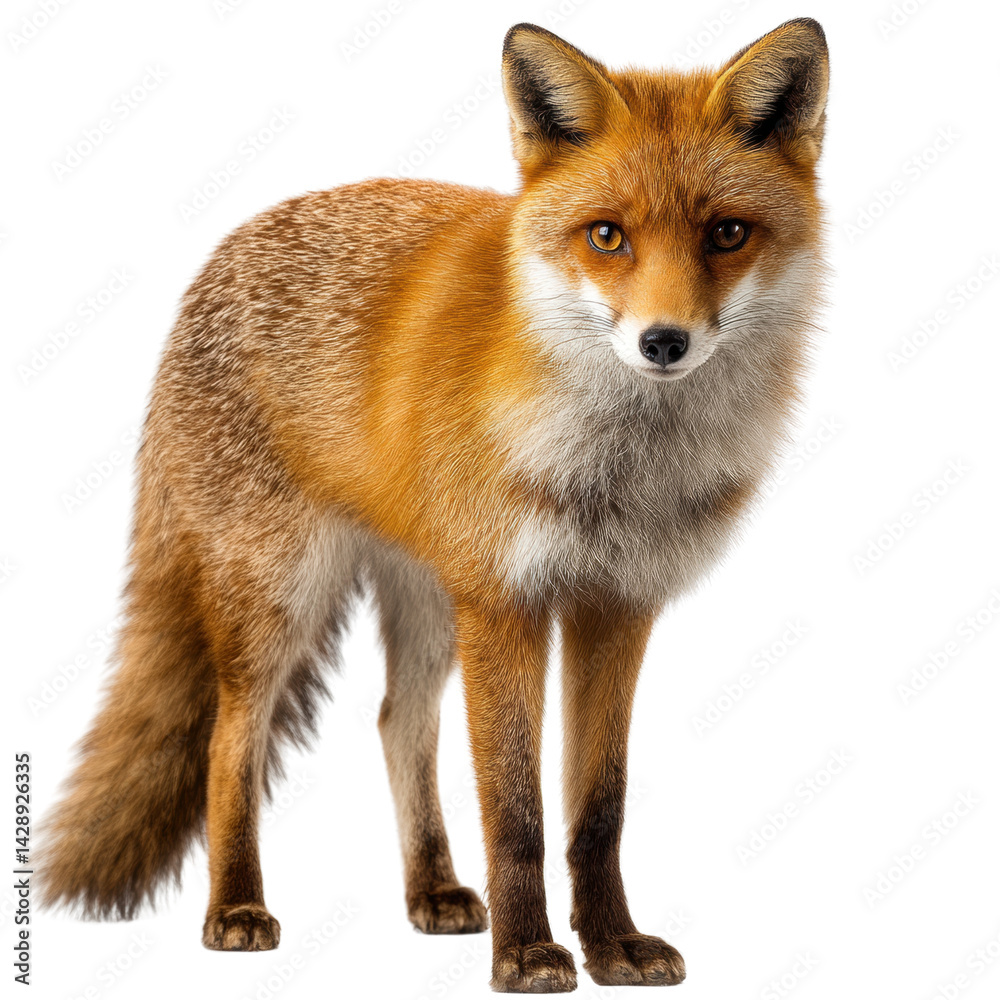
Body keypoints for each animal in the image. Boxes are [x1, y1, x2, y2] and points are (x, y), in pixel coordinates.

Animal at [38, 18, 829, 994]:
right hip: (281, 596)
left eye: (728, 233)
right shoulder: (507, 604)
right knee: (231, 740)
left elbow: (597, 810)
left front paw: (611, 945)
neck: (622, 469)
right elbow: (516, 811)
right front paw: (527, 954)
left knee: (396, 722)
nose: (663, 342)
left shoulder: (616, 605)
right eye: (607, 236)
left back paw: (433, 888)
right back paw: (236, 908)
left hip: (424, 601)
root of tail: (219, 256)